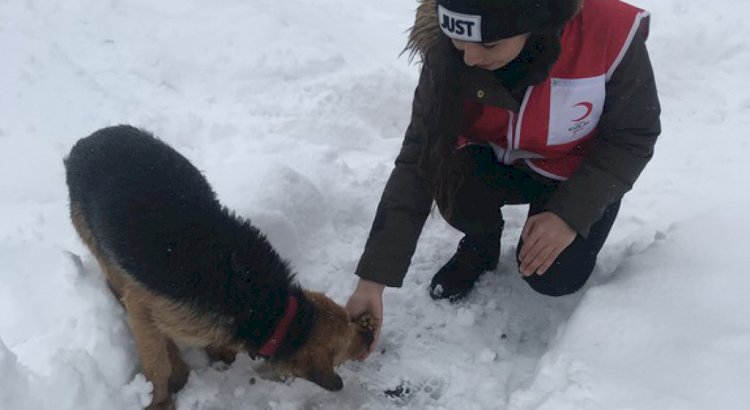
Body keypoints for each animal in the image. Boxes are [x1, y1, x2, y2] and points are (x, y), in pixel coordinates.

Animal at [64, 125, 376, 410]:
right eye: (343, 344)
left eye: (349, 318)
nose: (370, 334)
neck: (267, 305)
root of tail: (87, 140)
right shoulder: (144, 303)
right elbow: (156, 364)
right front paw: (160, 399)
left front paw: (215, 351)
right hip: (96, 241)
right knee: (116, 282)